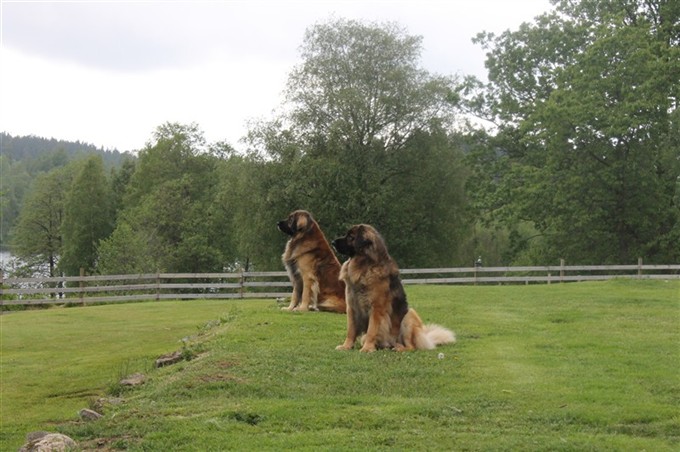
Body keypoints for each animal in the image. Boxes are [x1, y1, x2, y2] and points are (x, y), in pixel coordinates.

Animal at [330, 224, 454, 352]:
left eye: (350, 237)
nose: (332, 242)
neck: (364, 267)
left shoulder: (376, 309)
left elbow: (371, 331)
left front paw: (367, 348)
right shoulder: (352, 308)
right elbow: (351, 330)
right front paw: (346, 346)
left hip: (408, 315)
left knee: (411, 346)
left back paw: (399, 348)